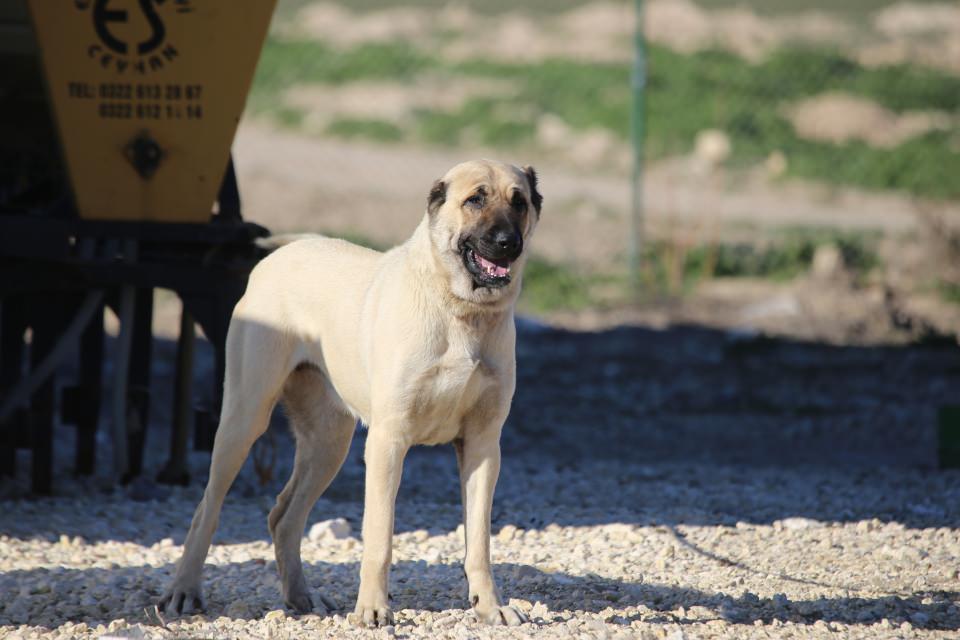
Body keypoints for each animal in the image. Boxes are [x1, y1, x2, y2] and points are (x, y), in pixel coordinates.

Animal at [158, 159, 540, 624]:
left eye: (519, 202)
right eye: (475, 199)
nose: (508, 243)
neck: (459, 308)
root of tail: (280, 256)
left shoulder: (483, 445)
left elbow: (479, 543)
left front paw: (489, 606)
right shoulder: (388, 442)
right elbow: (379, 539)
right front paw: (373, 609)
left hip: (329, 443)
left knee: (283, 516)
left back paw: (300, 597)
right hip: (243, 421)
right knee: (207, 509)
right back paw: (184, 590)